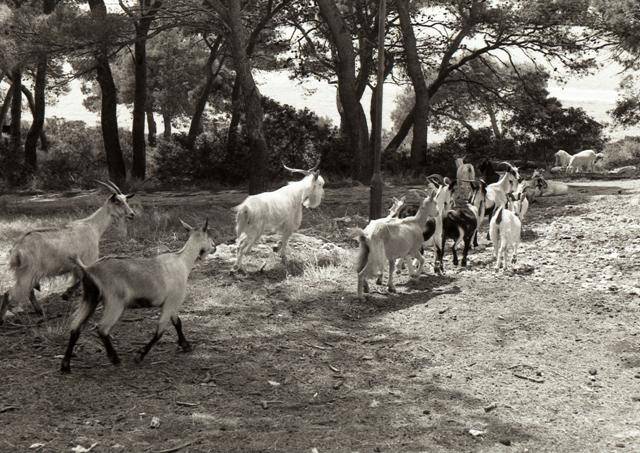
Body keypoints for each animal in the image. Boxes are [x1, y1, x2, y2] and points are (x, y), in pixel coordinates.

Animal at [0, 180, 136, 322]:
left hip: (26, 273)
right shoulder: (88, 261)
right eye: (118, 202)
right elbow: (81, 279)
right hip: (28, 272)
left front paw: (67, 294)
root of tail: (17, 248)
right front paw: (66, 294)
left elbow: (79, 279)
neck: (94, 227)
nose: (132, 214)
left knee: (28, 291)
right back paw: (4, 318)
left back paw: (40, 311)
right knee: (9, 293)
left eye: (126, 200)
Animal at [60, 218, 215, 370]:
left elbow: (177, 323)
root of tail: (88, 269)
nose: (214, 247)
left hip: (90, 298)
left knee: (75, 327)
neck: (182, 261)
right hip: (114, 302)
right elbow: (160, 330)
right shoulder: (172, 301)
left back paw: (65, 365)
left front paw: (186, 346)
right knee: (102, 328)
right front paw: (139, 355)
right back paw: (115, 359)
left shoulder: (171, 303)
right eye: (208, 236)